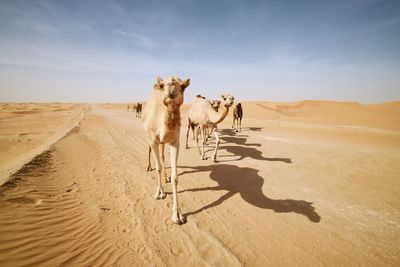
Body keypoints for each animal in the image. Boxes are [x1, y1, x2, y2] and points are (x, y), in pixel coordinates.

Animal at [142, 76, 191, 225]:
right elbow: (157, 168)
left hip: (163, 143)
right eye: (163, 85)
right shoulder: (154, 140)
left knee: (163, 156)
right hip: (148, 135)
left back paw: (165, 177)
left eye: (183, 86)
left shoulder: (175, 142)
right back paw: (148, 167)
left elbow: (175, 177)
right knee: (150, 151)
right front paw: (159, 193)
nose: (171, 86)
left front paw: (177, 215)